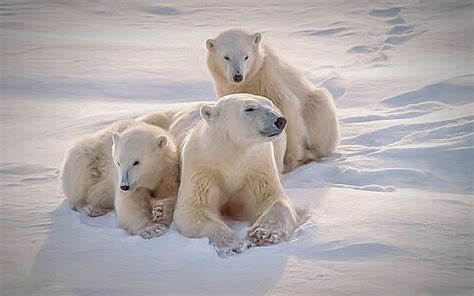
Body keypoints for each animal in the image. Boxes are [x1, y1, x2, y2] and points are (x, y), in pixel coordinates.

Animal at [173, 93, 300, 256]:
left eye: (270, 104)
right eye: (249, 108)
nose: (280, 120)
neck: (232, 153)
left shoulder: (256, 165)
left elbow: (274, 199)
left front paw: (263, 234)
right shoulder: (202, 167)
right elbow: (194, 208)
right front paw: (233, 245)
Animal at [206, 28, 338, 171]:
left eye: (246, 56)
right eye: (226, 57)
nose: (238, 76)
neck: (249, 80)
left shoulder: (269, 79)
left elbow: (288, 109)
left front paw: (290, 160)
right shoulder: (227, 89)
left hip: (315, 105)